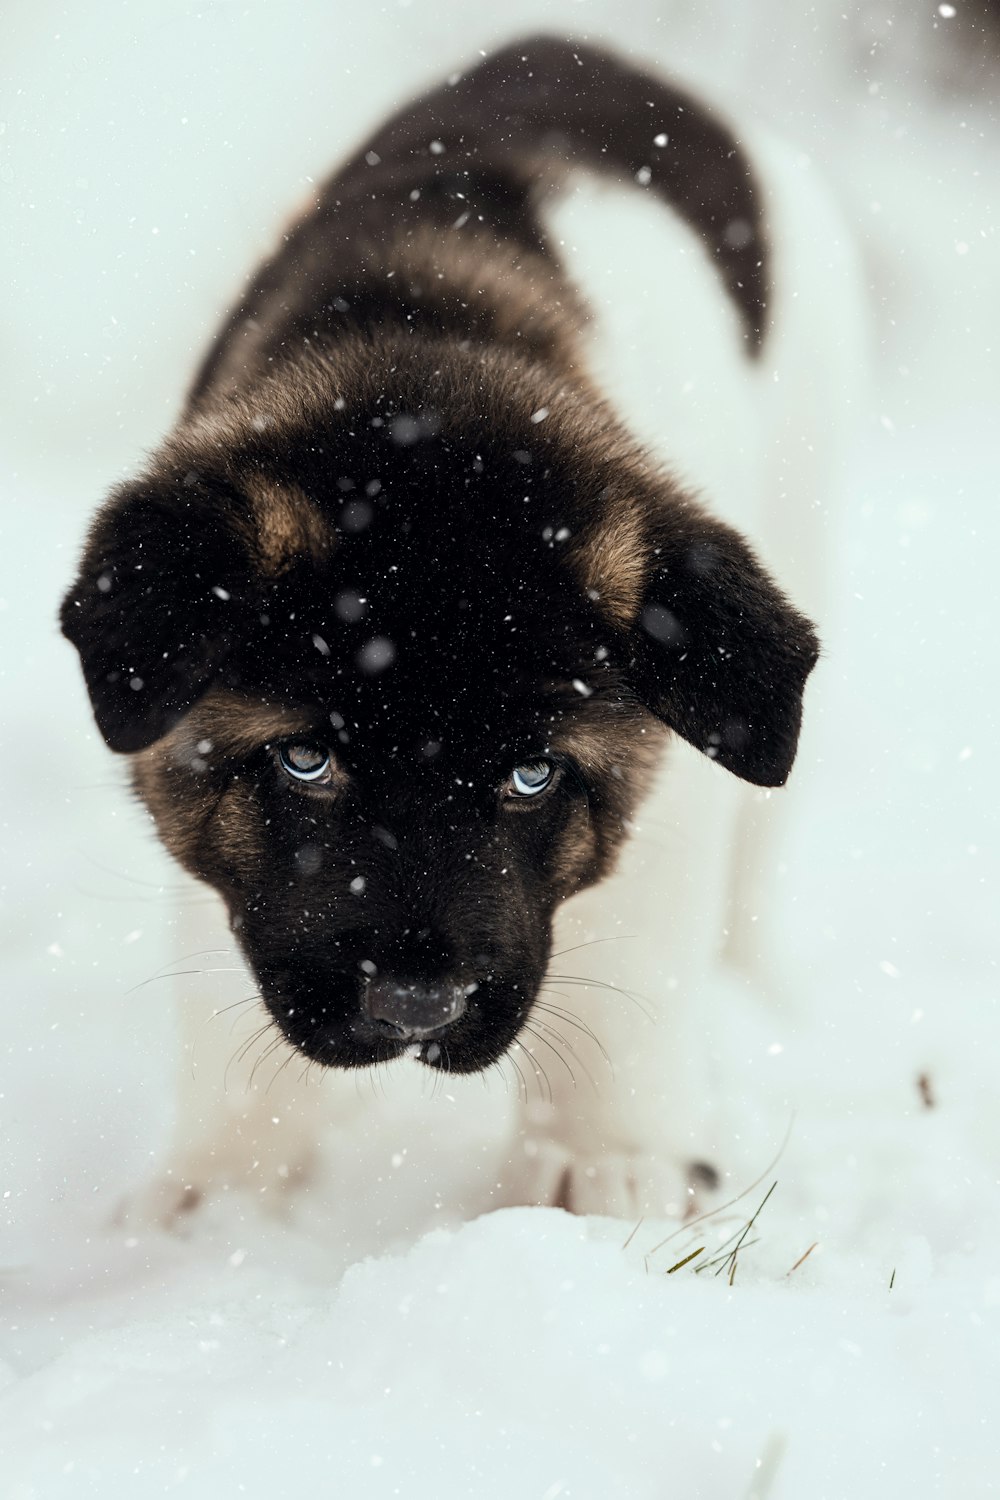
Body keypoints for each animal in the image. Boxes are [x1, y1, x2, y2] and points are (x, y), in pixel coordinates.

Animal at [62, 38, 863, 1218]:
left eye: (534, 775)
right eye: (306, 761)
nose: (416, 1009)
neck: (432, 335)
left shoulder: (676, 801)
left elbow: (638, 972)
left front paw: (605, 1167)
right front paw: (217, 1198)